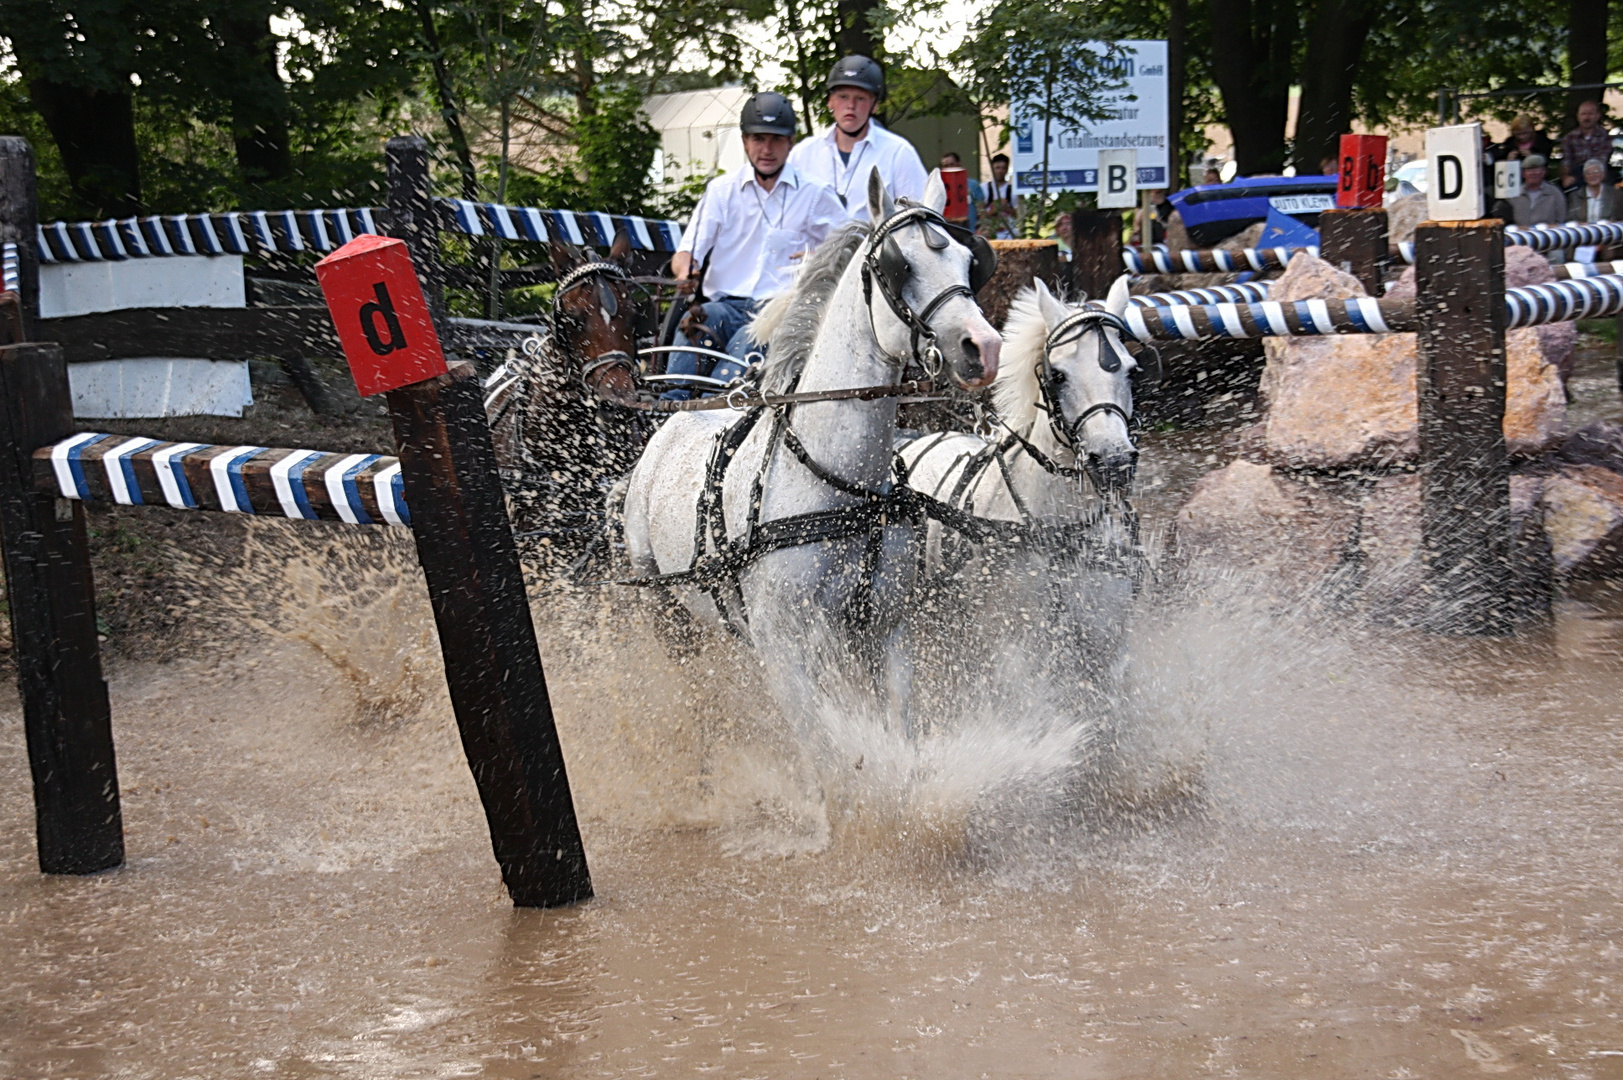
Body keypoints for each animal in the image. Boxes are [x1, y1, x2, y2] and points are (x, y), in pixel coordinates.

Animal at [619, 170, 999, 734]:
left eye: (968, 262)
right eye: (899, 265)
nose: (984, 348)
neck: (839, 486)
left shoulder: (884, 633)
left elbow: (898, 730)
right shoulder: (789, 656)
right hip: (666, 612)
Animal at [902, 277, 1142, 695]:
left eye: (1131, 371)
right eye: (1058, 375)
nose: (1114, 462)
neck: (1057, 531)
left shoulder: (1107, 650)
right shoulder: (1013, 652)